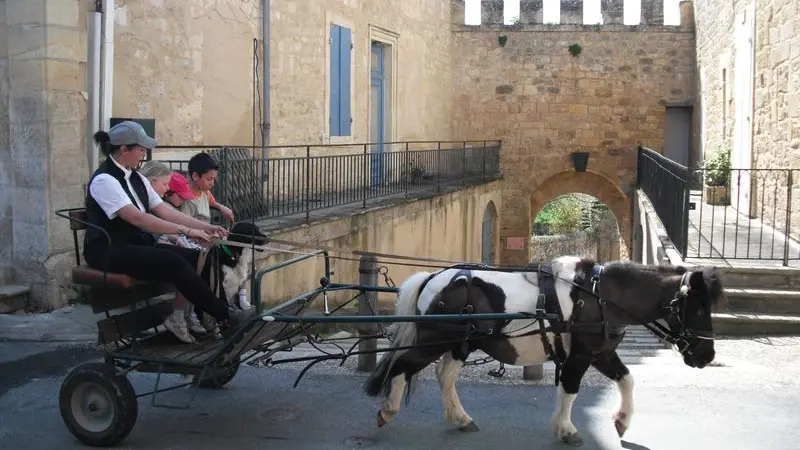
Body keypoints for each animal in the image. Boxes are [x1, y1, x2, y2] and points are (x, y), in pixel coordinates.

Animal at [362, 256, 724, 446]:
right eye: (697, 308)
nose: (706, 356)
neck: (599, 296)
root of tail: (435, 277)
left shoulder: (602, 354)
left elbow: (627, 380)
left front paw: (621, 422)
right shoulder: (581, 356)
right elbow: (570, 390)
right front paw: (567, 429)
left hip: (459, 344)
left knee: (443, 375)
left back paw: (461, 418)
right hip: (435, 339)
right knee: (401, 365)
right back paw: (388, 410)